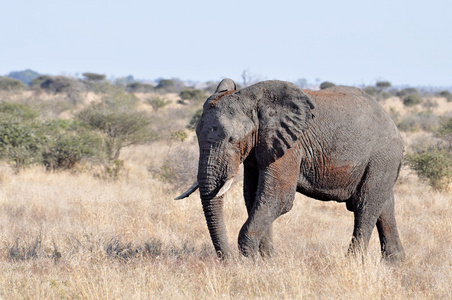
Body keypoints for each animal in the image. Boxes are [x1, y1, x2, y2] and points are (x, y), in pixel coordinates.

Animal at [175, 78, 404, 262]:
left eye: (232, 140)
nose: (228, 261)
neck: (253, 99)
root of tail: (391, 122)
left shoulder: (291, 145)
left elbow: (278, 198)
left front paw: (251, 263)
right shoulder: (260, 147)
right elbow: (254, 197)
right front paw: (268, 262)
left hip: (383, 156)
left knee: (365, 205)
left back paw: (353, 263)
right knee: (384, 205)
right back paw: (394, 263)